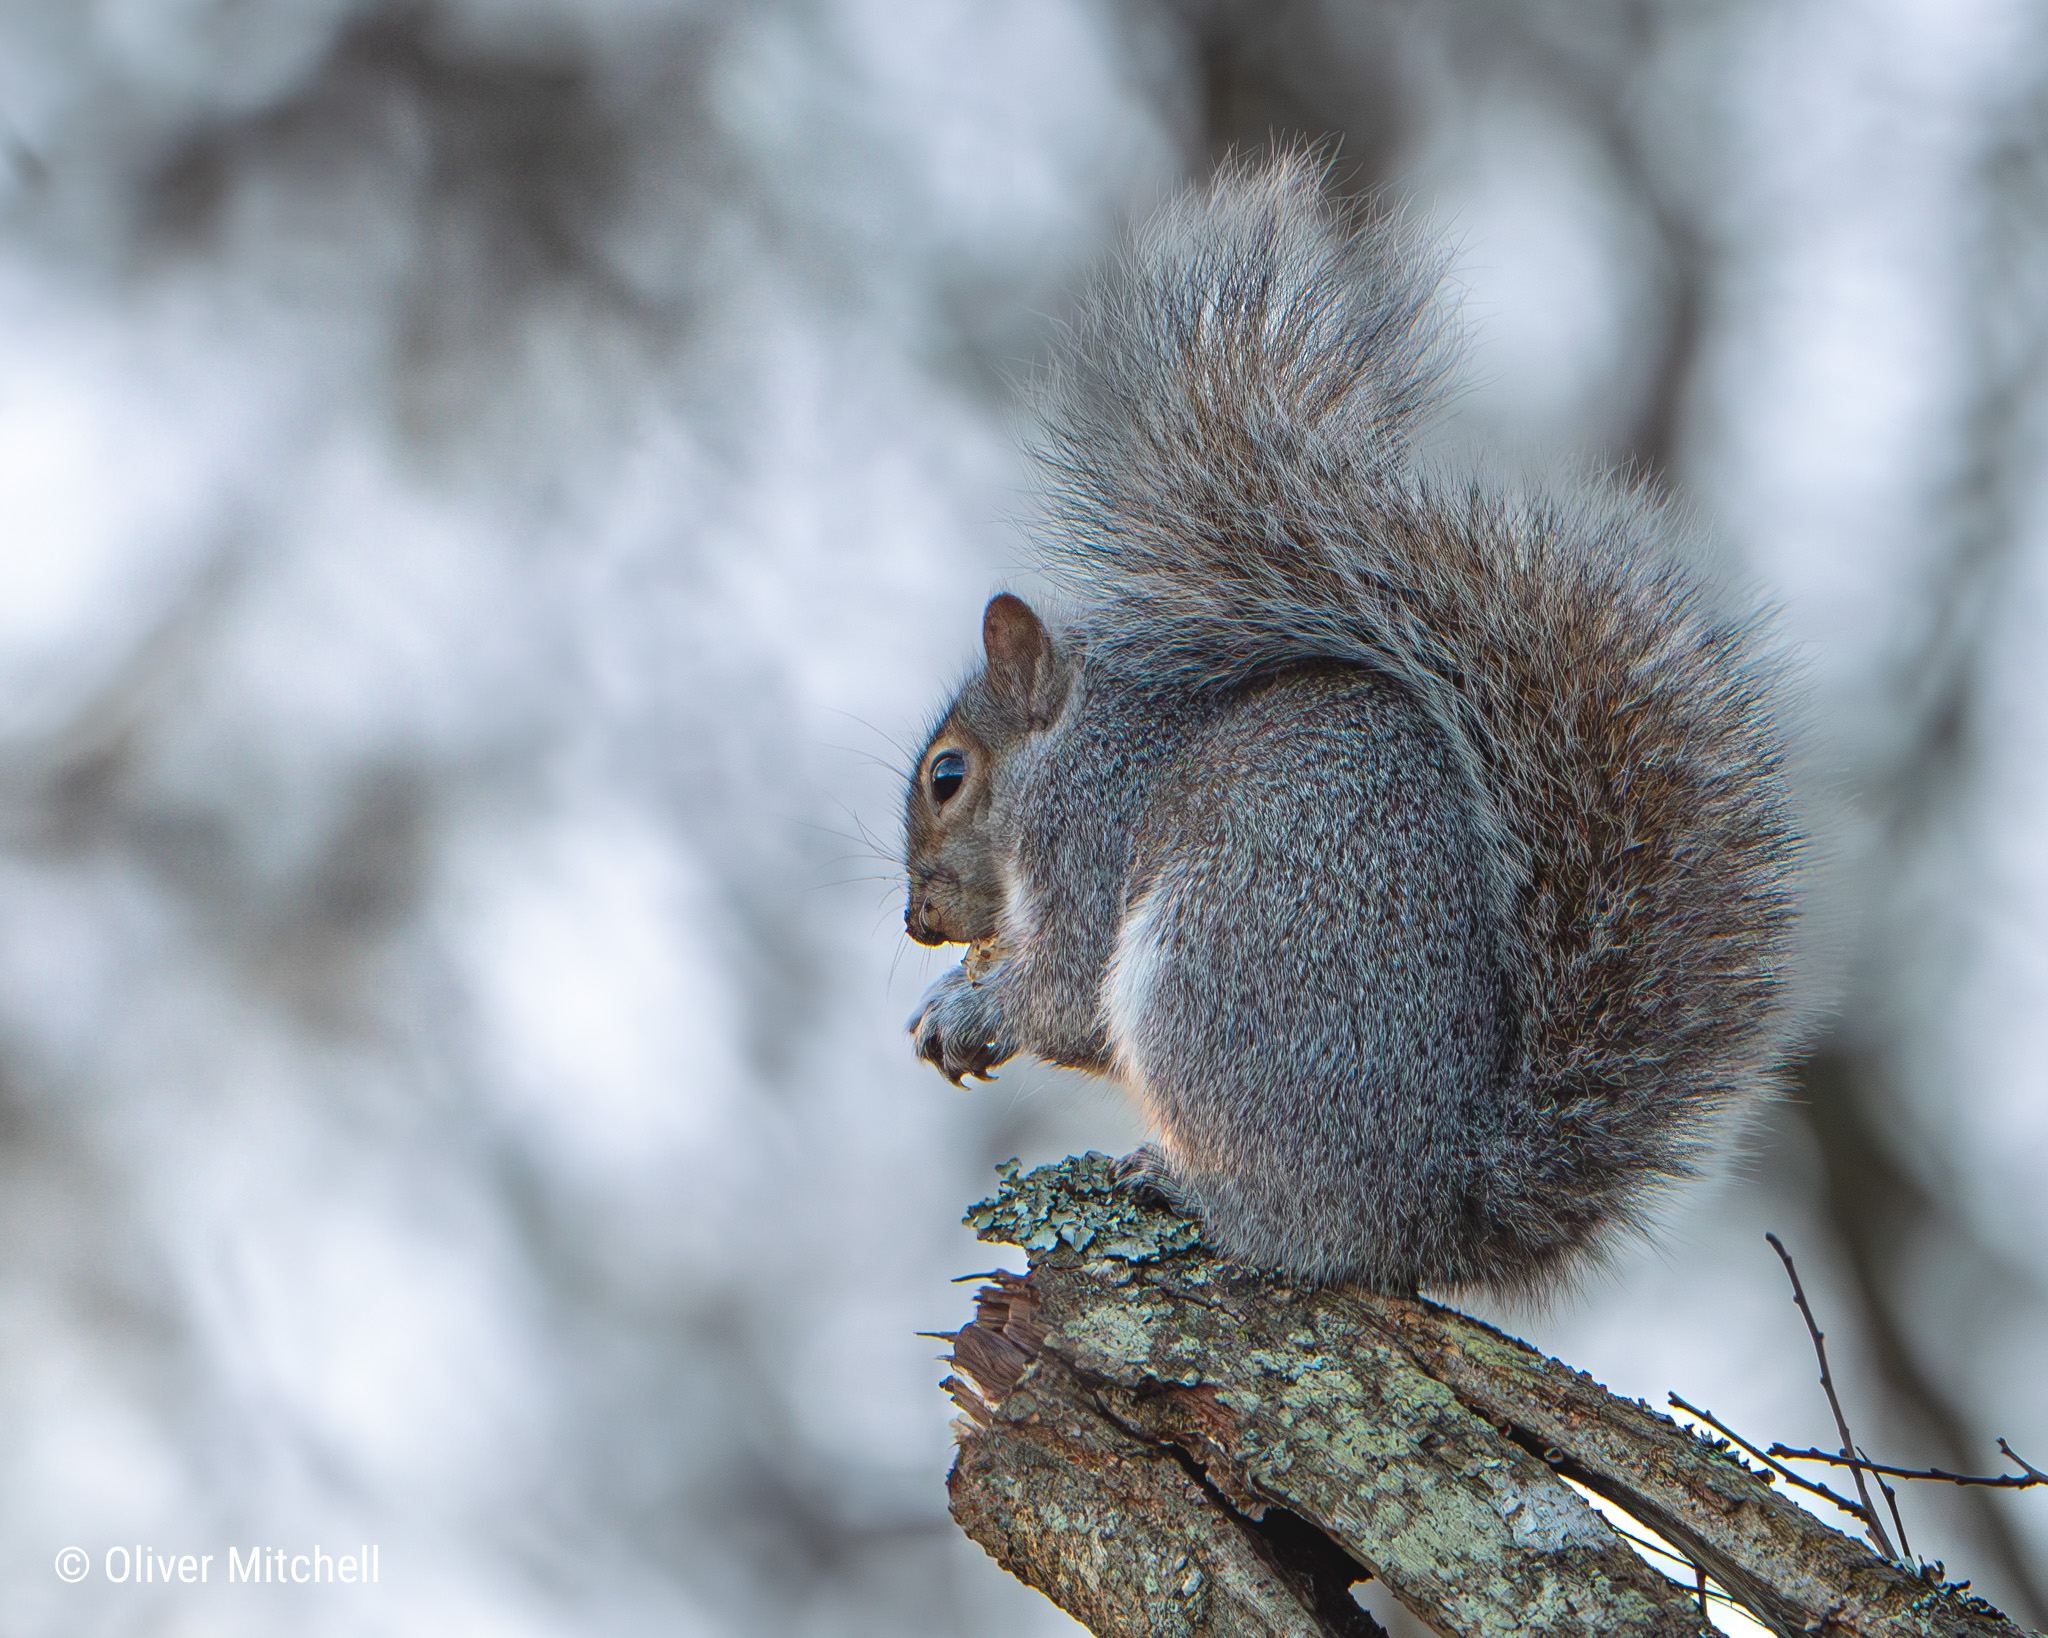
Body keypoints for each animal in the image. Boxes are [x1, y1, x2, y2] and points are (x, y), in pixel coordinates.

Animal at [897, 153, 1794, 1294]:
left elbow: (1065, 995)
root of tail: (1439, 1202)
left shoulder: (1088, 834)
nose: (916, 921)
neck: (1071, 746)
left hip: (1211, 975)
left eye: (948, 775)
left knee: (1310, 1230)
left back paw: (1207, 1197)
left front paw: (968, 1008)